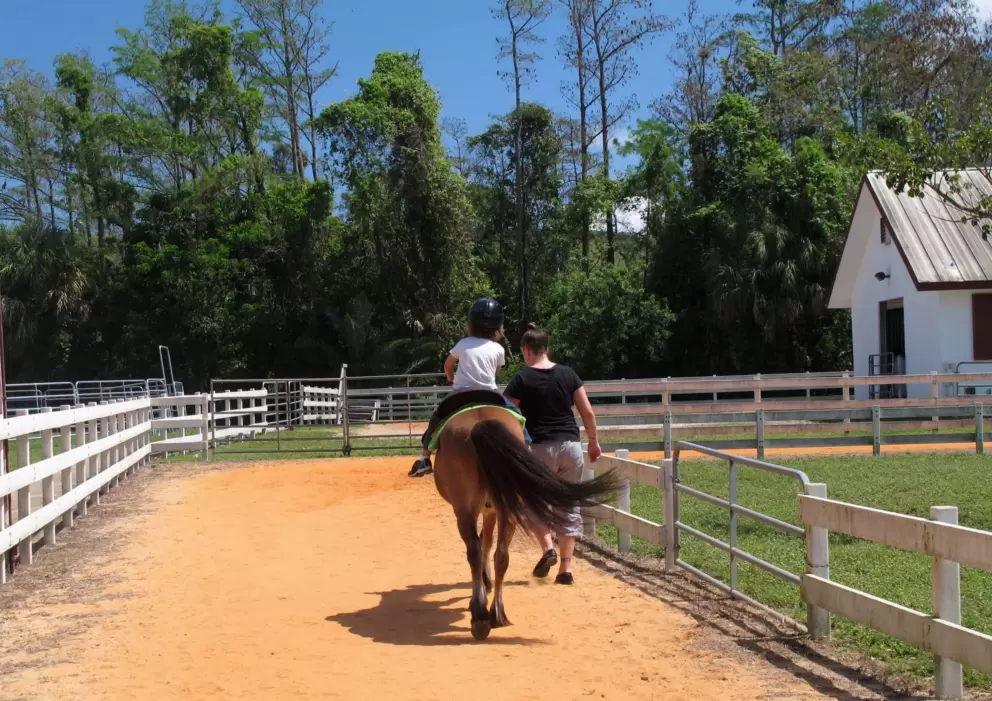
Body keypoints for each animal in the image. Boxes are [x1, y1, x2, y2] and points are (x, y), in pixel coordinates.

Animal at [431, 401, 618, 641]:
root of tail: (480, 423)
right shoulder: (492, 510)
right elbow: (488, 543)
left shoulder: (486, 510)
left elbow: (484, 543)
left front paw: (482, 587)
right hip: (506, 508)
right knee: (501, 555)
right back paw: (497, 614)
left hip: (466, 510)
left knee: (475, 551)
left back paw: (480, 617)